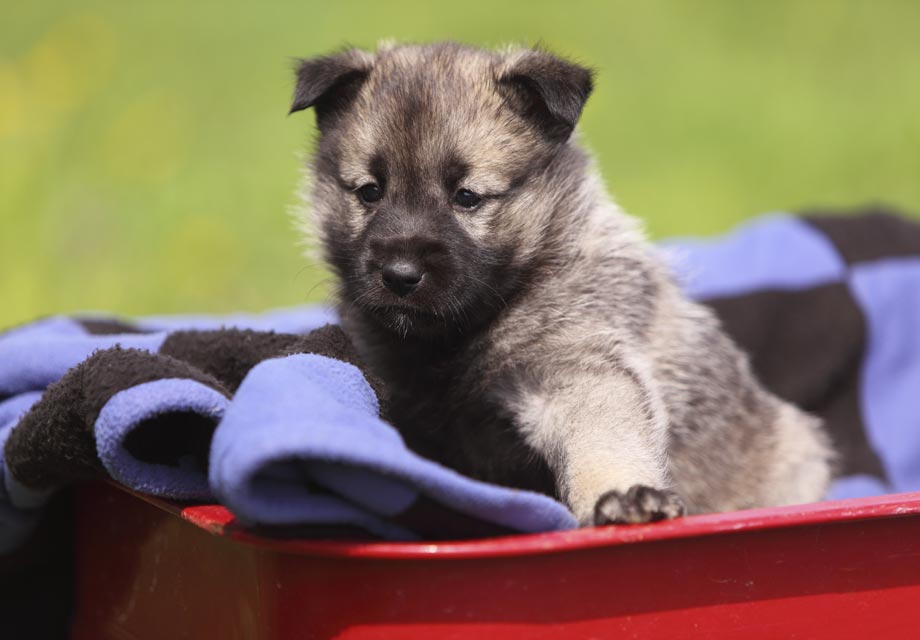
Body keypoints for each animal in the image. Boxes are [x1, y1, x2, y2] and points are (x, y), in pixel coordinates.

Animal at [290, 43, 832, 524]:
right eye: (369, 192)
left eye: (467, 196)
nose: (400, 275)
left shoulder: (576, 369)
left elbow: (603, 437)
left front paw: (624, 496)